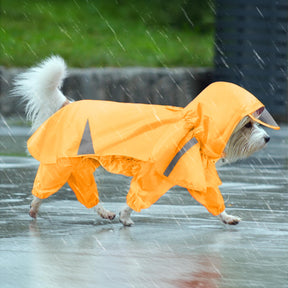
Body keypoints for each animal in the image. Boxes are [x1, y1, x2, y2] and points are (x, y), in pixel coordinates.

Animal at [12, 56, 278, 227]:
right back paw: (36, 207)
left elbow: (212, 198)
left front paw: (227, 217)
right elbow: (137, 197)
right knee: (45, 186)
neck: (195, 127)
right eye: (248, 125)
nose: (267, 138)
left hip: (79, 163)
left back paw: (102, 212)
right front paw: (126, 216)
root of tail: (68, 104)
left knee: (84, 190)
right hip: (65, 162)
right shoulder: (152, 172)